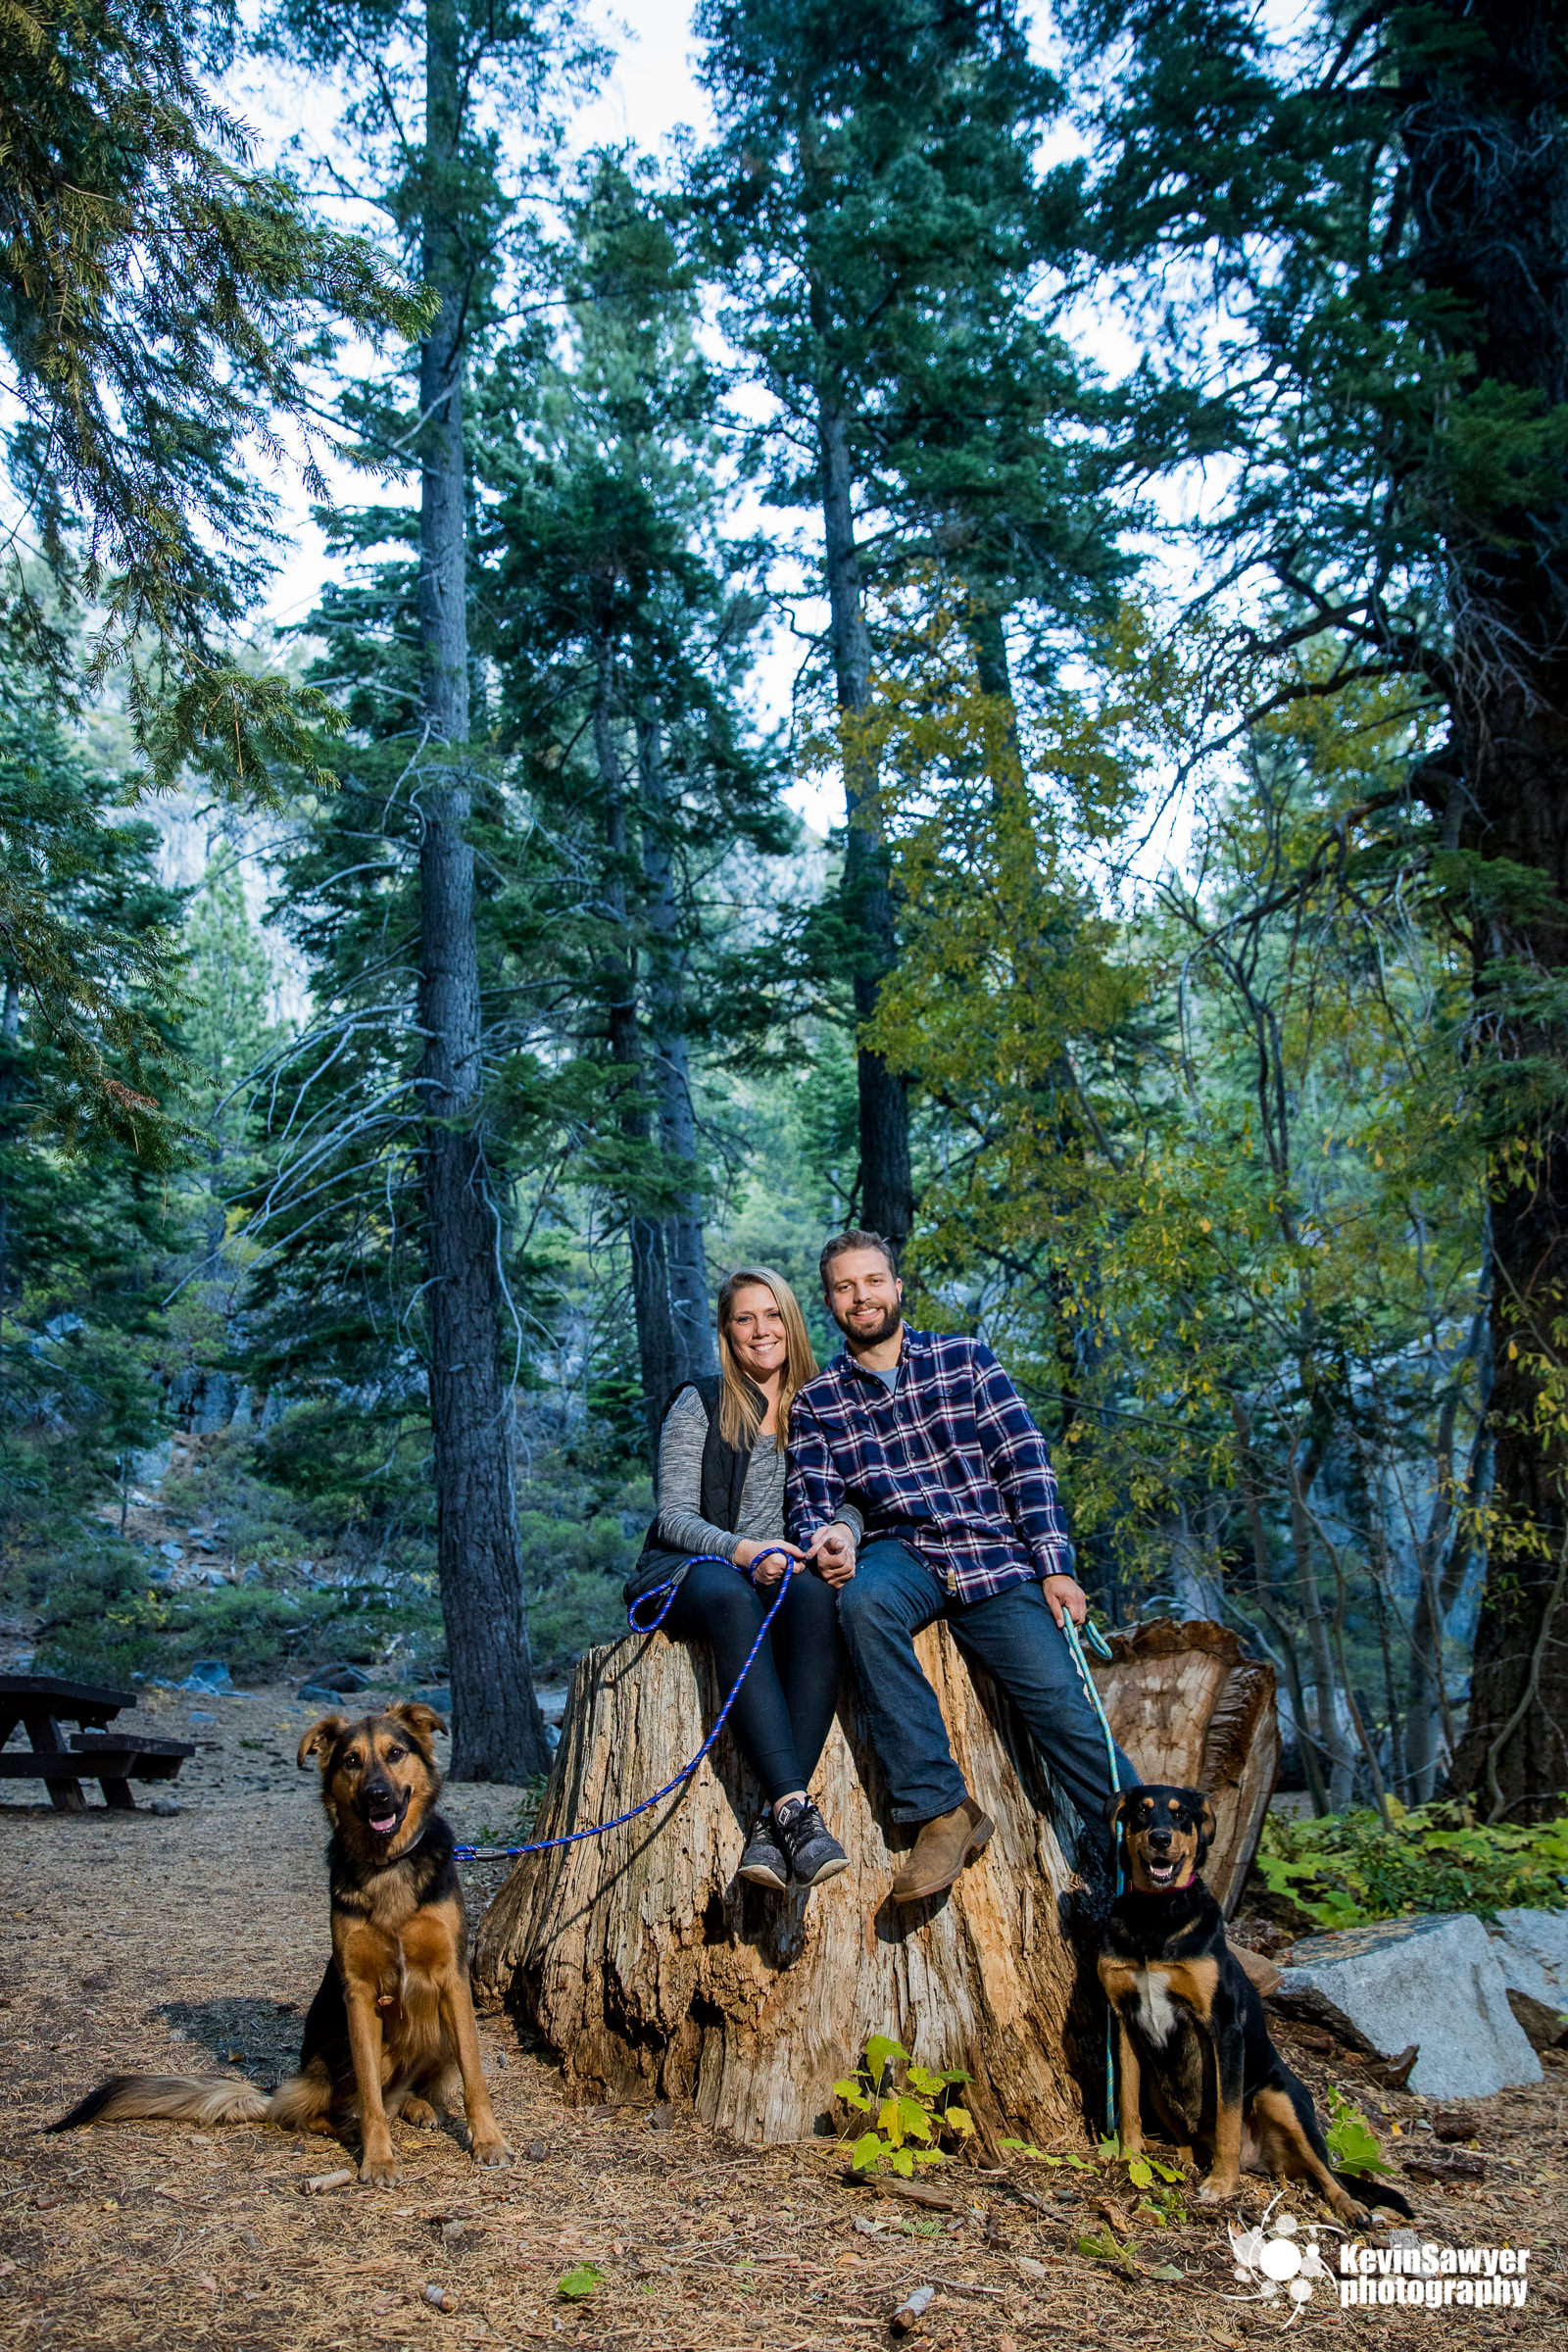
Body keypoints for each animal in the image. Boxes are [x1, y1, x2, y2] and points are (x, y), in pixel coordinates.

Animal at [49, 1712, 510, 2182]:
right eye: (351, 1760)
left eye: (395, 1753)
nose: (377, 1795)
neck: (388, 1865)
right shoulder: (360, 1996)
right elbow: (370, 2099)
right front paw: (378, 2158)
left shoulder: (453, 1982)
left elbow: (475, 2078)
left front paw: (488, 2141)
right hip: (350, 2053)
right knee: (316, 2110)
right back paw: (350, 2127)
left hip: (439, 2031)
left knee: (401, 2094)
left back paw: (419, 2106)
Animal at [1100, 1788, 1419, 2211]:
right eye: (1140, 1811)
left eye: (1181, 1815)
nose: (1161, 1839)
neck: (1154, 1913)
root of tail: (1265, 2160)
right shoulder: (1125, 2020)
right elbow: (1126, 2102)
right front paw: (1130, 2158)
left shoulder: (1223, 2027)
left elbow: (1228, 2114)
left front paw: (1222, 2183)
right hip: (1158, 2085)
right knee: (1188, 2139)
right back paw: (1179, 2157)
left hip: (1282, 2098)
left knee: (1329, 2173)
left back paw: (1351, 2208)